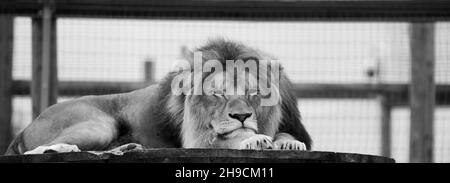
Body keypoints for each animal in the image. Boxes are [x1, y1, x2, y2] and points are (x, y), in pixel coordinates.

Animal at [5, 39, 312, 156]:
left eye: (253, 93)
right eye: (218, 93)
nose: (242, 116)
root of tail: (25, 127)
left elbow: (289, 136)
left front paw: (289, 143)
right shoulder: (195, 140)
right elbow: (227, 139)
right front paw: (253, 139)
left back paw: (126, 148)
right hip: (98, 125)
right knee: (37, 151)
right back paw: (64, 149)